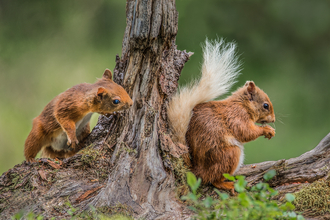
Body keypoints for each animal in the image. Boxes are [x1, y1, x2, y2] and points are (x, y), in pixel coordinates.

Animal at [168, 39, 276, 194]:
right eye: (266, 105)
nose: (273, 119)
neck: (242, 105)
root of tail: (197, 171)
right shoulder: (237, 116)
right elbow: (245, 132)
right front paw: (267, 130)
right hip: (229, 155)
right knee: (213, 180)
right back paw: (227, 184)